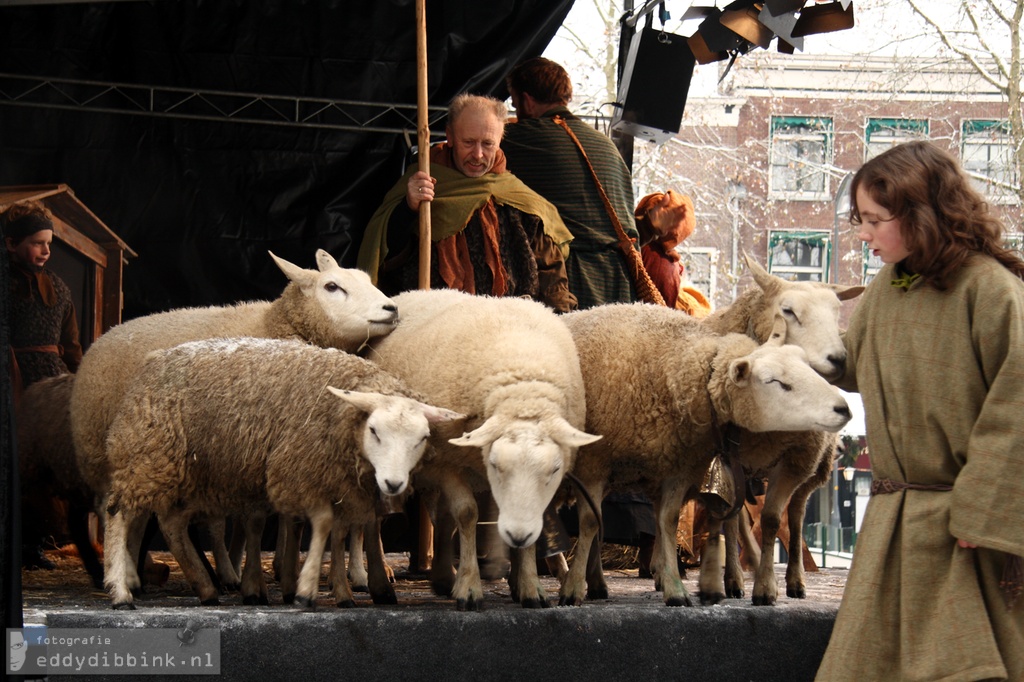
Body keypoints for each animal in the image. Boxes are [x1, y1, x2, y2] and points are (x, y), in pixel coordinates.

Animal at [70, 246, 397, 585]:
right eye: (332, 287)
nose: (391, 307)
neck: (272, 324)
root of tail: (106, 334)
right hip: (113, 450)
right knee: (118, 511)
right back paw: (133, 571)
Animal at [100, 333, 464, 606]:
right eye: (374, 431)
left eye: (422, 438)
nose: (393, 484)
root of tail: (153, 360)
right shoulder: (299, 470)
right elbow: (322, 523)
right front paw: (305, 590)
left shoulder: (336, 481)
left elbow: (336, 529)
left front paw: (341, 589)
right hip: (147, 454)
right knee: (119, 514)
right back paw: (121, 591)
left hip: (182, 469)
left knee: (172, 525)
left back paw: (205, 588)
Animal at [364, 288, 598, 610]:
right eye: (496, 465)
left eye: (554, 470)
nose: (518, 534)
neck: (523, 393)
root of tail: (413, 291)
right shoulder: (449, 463)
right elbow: (466, 514)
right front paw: (469, 588)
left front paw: (529, 587)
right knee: (374, 518)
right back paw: (380, 583)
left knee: (441, 517)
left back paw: (443, 578)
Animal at [557, 303, 851, 606]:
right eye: (774, 381)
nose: (843, 408)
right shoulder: (593, 462)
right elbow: (589, 522)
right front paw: (572, 588)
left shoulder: (677, 466)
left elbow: (668, 520)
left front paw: (675, 588)